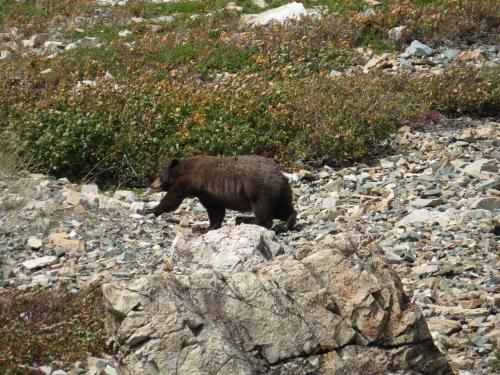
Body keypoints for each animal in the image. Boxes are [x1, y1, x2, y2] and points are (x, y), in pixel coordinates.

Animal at [142, 154, 296, 231]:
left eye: (159, 175)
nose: (151, 184)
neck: (183, 169)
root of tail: (281, 175)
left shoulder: (191, 181)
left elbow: (172, 198)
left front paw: (149, 210)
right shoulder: (207, 194)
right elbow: (215, 210)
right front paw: (211, 226)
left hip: (261, 191)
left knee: (263, 210)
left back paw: (251, 221)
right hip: (281, 192)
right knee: (282, 209)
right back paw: (289, 222)